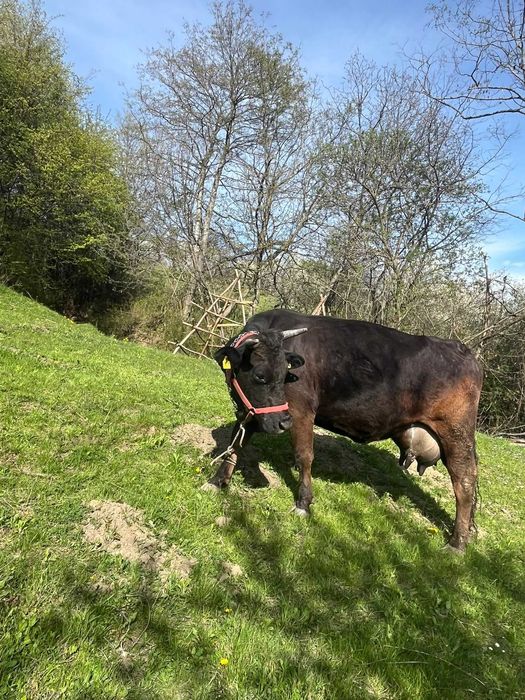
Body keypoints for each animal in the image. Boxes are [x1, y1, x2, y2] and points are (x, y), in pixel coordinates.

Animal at [205, 309, 483, 552]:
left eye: (285, 374)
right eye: (260, 376)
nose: (283, 423)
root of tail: (463, 351)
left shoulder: (301, 411)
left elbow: (304, 456)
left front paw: (303, 503)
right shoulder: (250, 412)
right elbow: (235, 444)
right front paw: (217, 481)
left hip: (455, 433)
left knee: (464, 480)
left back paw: (457, 543)